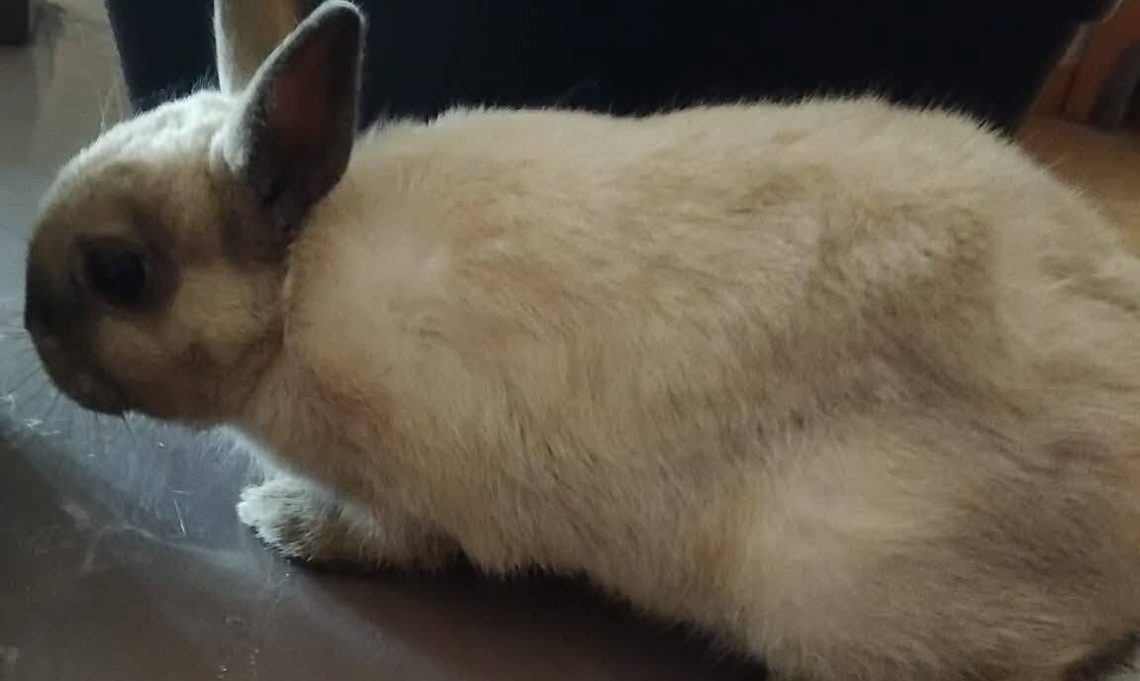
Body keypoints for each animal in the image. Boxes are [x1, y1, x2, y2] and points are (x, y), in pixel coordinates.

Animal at [21, 0, 1140, 678]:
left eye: (118, 273)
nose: (29, 331)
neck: (298, 297)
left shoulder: (415, 494)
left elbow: (385, 537)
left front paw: (278, 520)